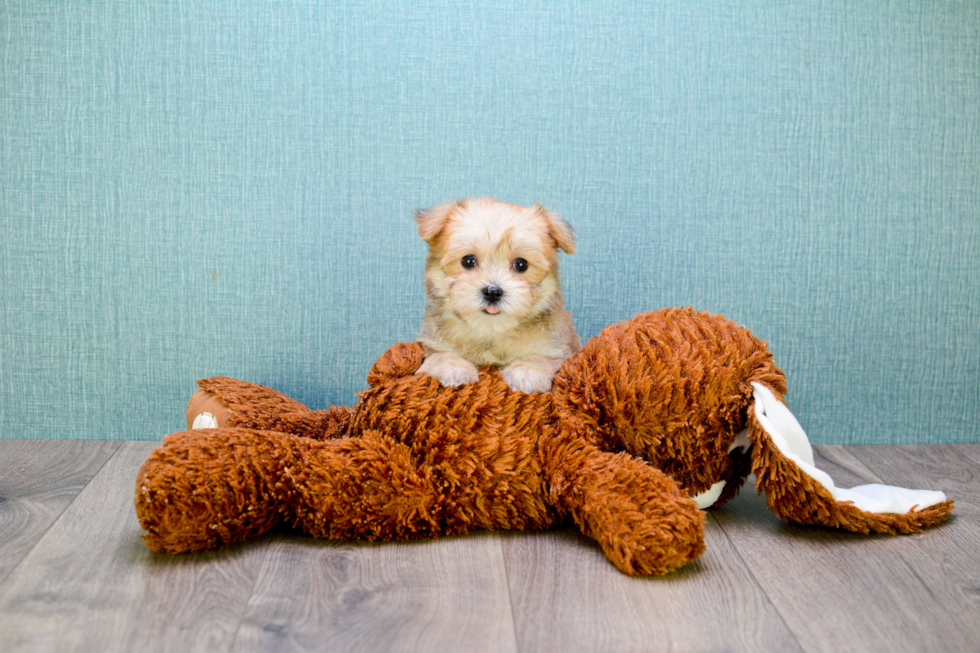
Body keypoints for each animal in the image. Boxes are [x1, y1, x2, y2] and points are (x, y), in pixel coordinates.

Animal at [414, 196, 580, 392]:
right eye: (468, 261)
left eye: (521, 264)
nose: (492, 292)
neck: (491, 331)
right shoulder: (434, 345)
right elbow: (441, 356)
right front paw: (453, 367)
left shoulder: (557, 348)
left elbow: (541, 359)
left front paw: (527, 371)